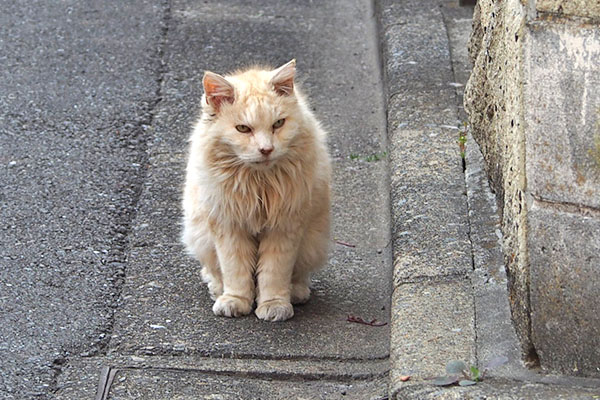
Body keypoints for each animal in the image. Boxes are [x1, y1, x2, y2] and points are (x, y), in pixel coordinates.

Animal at [183, 60, 332, 322]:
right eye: (243, 128)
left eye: (278, 124)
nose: (266, 149)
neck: (258, 182)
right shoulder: (228, 226)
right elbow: (235, 270)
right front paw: (235, 301)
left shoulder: (285, 227)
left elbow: (274, 273)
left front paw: (274, 305)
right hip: (199, 235)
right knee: (215, 271)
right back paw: (218, 289)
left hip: (313, 243)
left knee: (299, 276)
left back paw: (296, 293)